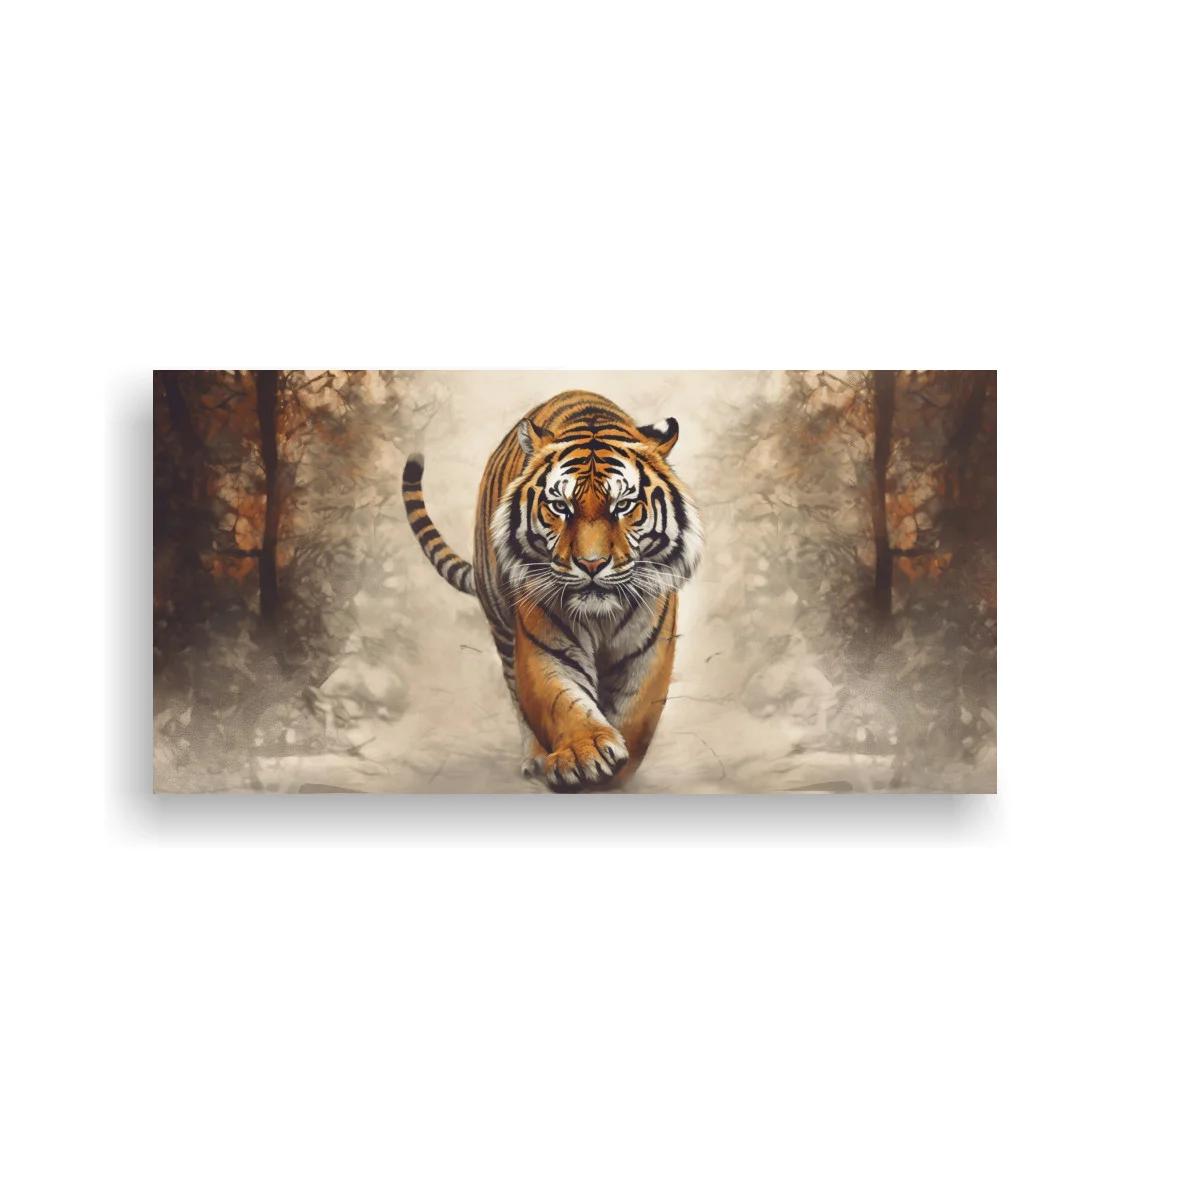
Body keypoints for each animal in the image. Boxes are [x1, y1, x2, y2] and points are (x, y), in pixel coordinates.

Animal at [403, 389, 702, 791]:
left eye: (623, 505)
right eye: (560, 507)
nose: (591, 564)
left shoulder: (648, 651)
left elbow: (635, 712)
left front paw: (616, 770)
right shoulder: (545, 644)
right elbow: (562, 701)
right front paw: (586, 754)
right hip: (503, 628)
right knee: (517, 695)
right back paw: (537, 759)